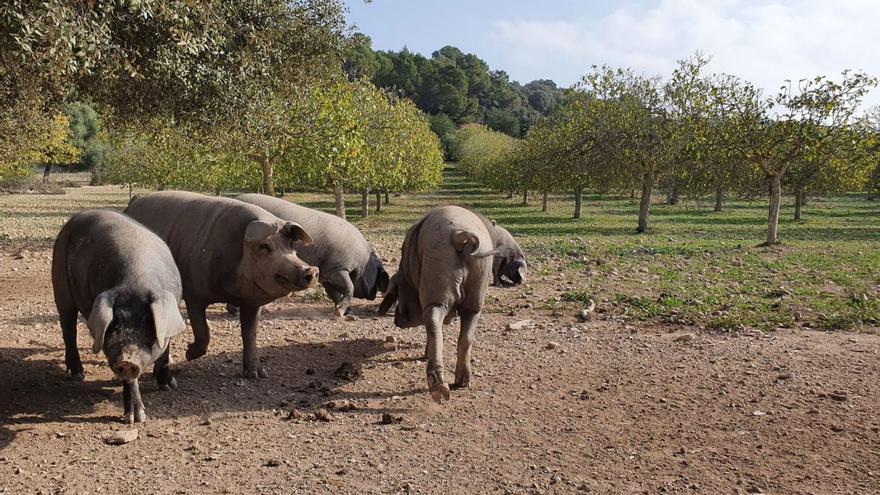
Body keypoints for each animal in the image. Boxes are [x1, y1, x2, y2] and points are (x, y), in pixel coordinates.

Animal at [52, 208, 187, 422]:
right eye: (113, 326)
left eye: (148, 325)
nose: (127, 360)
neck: (137, 280)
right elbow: (130, 380)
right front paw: (135, 418)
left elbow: (165, 349)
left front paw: (168, 386)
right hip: (59, 281)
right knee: (68, 329)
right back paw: (78, 375)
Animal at [122, 192, 318, 378]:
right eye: (264, 246)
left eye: (291, 246)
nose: (311, 270)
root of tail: (133, 203)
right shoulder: (194, 295)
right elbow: (203, 332)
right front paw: (188, 354)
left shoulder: (252, 303)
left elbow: (250, 335)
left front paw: (258, 375)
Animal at [234, 194, 388, 318]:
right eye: (377, 275)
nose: (374, 296)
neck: (362, 260)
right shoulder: (338, 268)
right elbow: (349, 288)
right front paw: (340, 313)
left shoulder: (326, 275)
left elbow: (334, 293)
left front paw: (346, 312)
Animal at [376, 205, 498, 404]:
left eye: (398, 295)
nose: (396, 320)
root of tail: (460, 236)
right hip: (477, 286)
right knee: (465, 335)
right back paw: (461, 382)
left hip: (436, 279)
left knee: (433, 324)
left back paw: (438, 388)